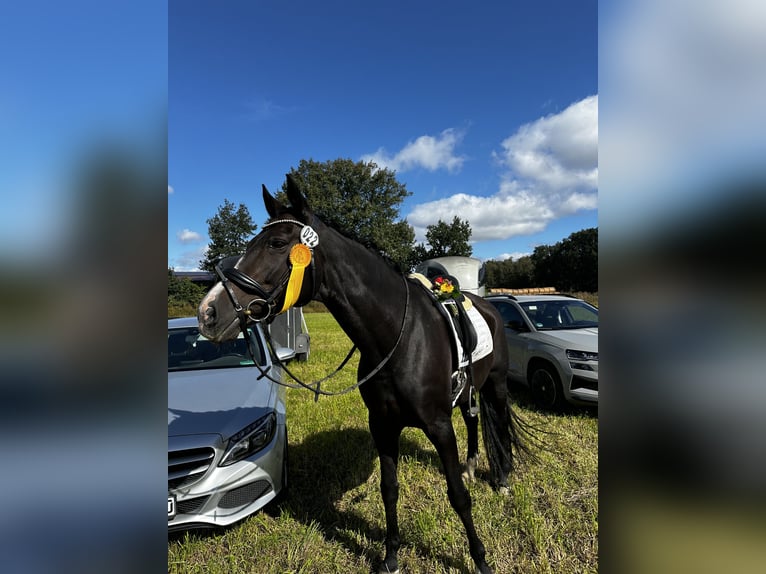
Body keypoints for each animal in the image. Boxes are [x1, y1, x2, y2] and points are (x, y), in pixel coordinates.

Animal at [201, 176, 532, 574]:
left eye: (277, 244)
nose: (208, 312)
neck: (398, 339)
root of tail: (490, 307)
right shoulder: (383, 425)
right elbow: (389, 490)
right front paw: (391, 556)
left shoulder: (438, 425)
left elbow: (458, 495)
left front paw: (480, 559)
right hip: (469, 391)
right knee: (473, 418)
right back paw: (471, 465)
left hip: (495, 385)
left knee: (499, 422)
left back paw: (503, 479)